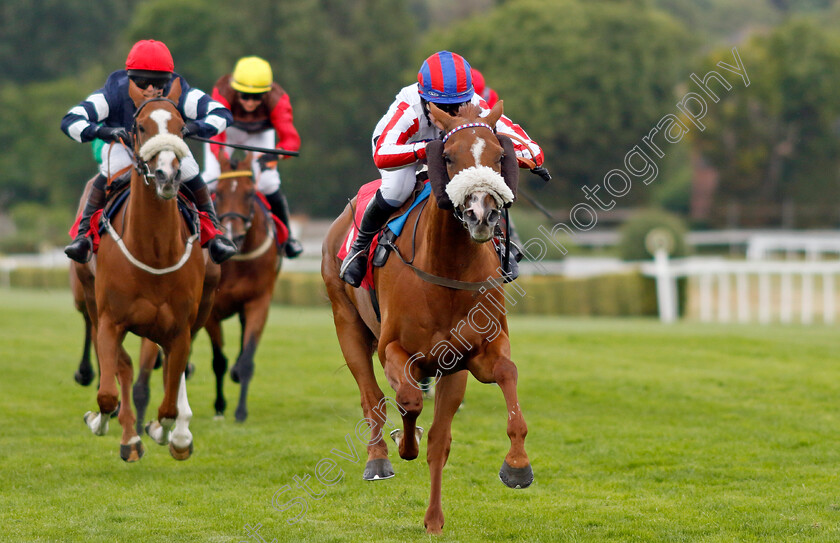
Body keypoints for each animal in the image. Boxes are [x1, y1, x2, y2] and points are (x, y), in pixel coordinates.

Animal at [76, 78, 218, 464]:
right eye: (139, 127)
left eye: (182, 127)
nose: (167, 175)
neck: (153, 252)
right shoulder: (110, 321)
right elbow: (108, 393)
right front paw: (101, 421)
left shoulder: (179, 327)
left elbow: (168, 404)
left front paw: (169, 432)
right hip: (90, 302)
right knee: (123, 369)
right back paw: (128, 438)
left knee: (172, 373)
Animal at [203, 151, 282, 422]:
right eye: (219, 192)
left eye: (249, 193)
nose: (231, 235)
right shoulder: (211, 310)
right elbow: (218, 361)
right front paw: (219, 406)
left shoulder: (259, 302)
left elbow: (246, 358)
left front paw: (240, 410)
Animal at [322, 100, 532, 532]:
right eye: (448, 156)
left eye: (498, 156)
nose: (482, 214)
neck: (448, 268)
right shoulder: (394, 349)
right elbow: (407, 401)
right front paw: (405, 443)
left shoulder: (471, 355)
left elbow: (503, 376)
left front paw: (517, 465)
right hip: (346, 321)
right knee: (372, 398)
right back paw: (379, 459)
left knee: (437, 433)